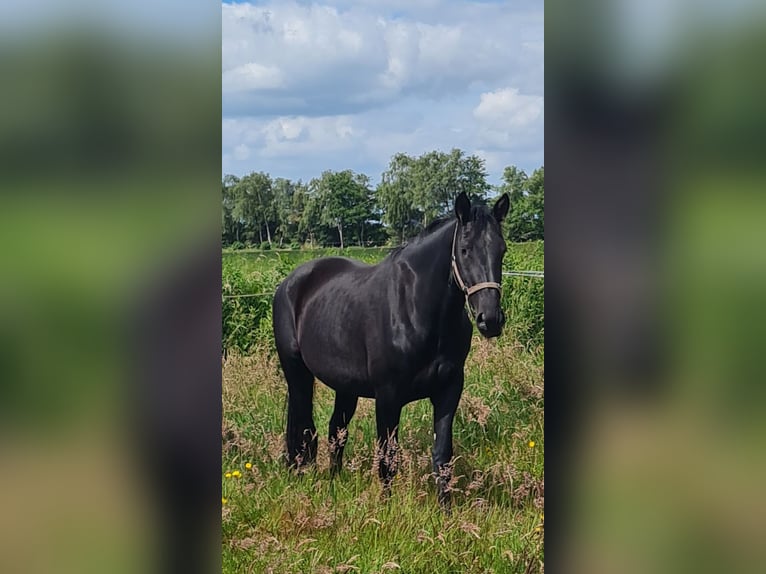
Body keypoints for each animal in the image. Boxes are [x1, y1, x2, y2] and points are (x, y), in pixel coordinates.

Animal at [274, 194, 510, 508]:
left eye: (502, 250)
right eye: (465, 249)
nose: (490, 319)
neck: (414, 308)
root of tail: (290, 283)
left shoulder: (449, 390)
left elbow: (442, 455)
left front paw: (445, 510)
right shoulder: (388, 396)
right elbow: (388, 458)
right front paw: (385, 508)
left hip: (345, 386)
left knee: (336, 430)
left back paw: (334, 482)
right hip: (297, 375)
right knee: (304, 429)